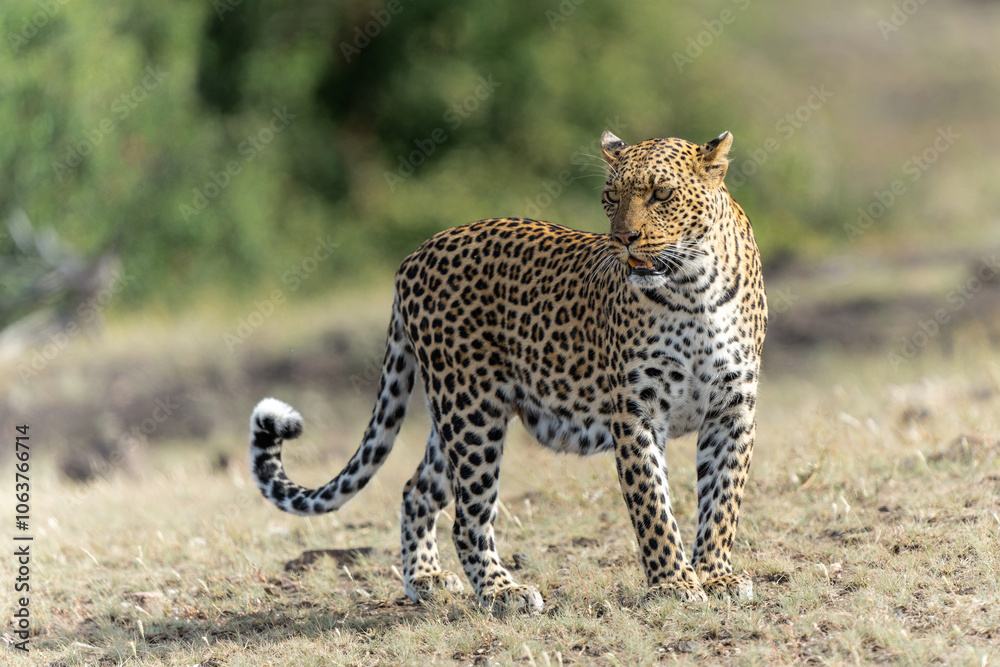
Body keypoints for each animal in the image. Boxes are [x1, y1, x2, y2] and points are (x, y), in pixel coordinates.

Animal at [248, 130, 767, 614]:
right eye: (611, 196)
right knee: (468, 517)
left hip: (455, 417)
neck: (692, 290)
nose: (624, 239)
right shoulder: (635, 414)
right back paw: (502, 591)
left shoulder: (732, 410)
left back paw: (425, 579)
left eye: (662, 194)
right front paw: (674, 584)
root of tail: (413, 257)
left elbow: (722, 499)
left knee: (417, 490)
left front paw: (715, 576)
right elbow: (652, 506)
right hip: (471, 411)